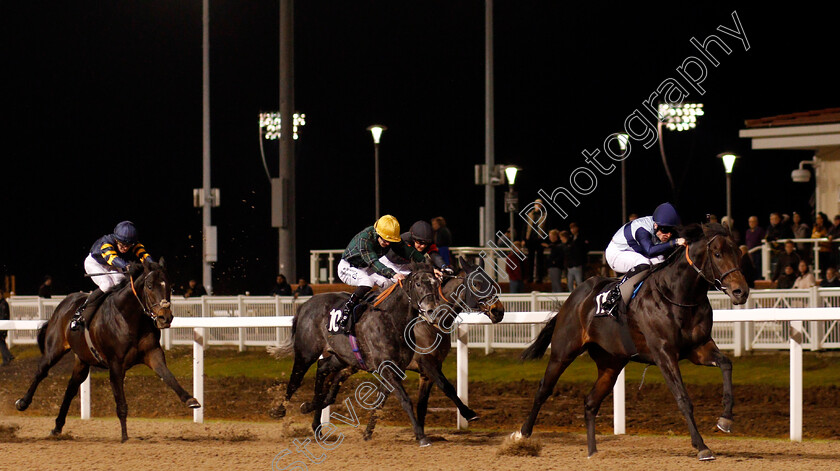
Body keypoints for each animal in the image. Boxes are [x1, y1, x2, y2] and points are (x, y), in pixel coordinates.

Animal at [15, 258, 200, 442]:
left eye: (169, 285)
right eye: (149, 285)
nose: (165, 317)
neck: (129, 318)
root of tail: (65, 303)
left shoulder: (152, 353)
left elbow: (168, 376)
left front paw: (190, 399)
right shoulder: (115, 364)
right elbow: (121, 402)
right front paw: (124, 436)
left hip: (82, 359)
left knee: (71, 388)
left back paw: (57, 427)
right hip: (55, 349)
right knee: (41, 371)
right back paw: (23, 402)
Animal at [270, 264, 442, 448]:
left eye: (436, 284)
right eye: (418, 284)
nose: (432, 311)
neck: (391, 320)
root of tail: (304, 305)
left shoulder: (395, 369)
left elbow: (380, 402)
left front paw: (367, 433)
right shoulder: (386, 367)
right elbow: (405, 400)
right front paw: (421, 436)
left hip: (341, 357)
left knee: (322, 369)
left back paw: (314, 416)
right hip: (306, 352)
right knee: (296, 379)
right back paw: (279, 410)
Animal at [312, 258, 502, 438]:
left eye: (492, 282)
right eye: (477, 284)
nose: (498, 311)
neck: (429, 324)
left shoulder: (425, 371)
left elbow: (420, 404)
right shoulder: (425, 363)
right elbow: (446, 387)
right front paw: (468, 413)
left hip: (351, 360)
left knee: (334, 378)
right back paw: (316, 419)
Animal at [512, 224, 748, 460]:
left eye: (738, 252)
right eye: (717, 254)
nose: (741, 292)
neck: (678, 295)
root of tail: (573, 297)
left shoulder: (698, 348)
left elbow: (726, 364)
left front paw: (725, 419)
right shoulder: (664, 354)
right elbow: (682, 398)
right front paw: (701, 446)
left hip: (611, 363)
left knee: (590, 403)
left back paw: (592, 451)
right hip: (563, 352)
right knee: (544, 390)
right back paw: (522, 436)